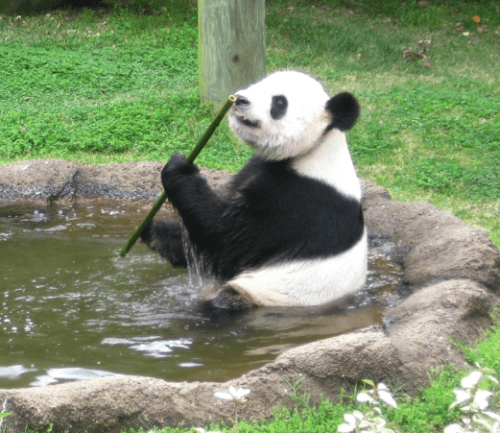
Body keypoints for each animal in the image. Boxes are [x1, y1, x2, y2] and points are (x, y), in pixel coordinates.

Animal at [141, 70, 368, 308]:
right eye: (257, 84)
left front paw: (178, 168)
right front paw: (150, 228)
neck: (316, 149)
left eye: (279, 102)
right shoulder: (258, 168)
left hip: (258, 295)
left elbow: (226, 240)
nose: (240, 99)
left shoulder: (301, 203)